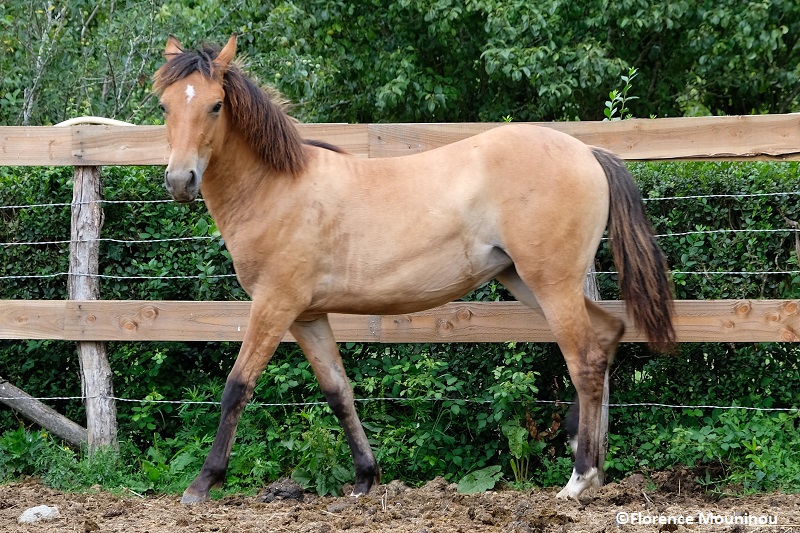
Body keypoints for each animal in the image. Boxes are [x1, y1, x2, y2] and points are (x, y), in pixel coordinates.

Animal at [152, 34, 676, 502]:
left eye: (216, 105)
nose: (180, 181)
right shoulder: (307, 315)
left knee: (584, 359)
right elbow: (339, 391)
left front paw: (202, 484)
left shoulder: (274, 305)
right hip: (529, 282)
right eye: (164, 107)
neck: (276, 188)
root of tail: (588, 152)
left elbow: (237, 387)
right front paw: (365, 479)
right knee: (607, 336)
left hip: (552, 284)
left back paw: (579, 479)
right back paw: (589, 460)